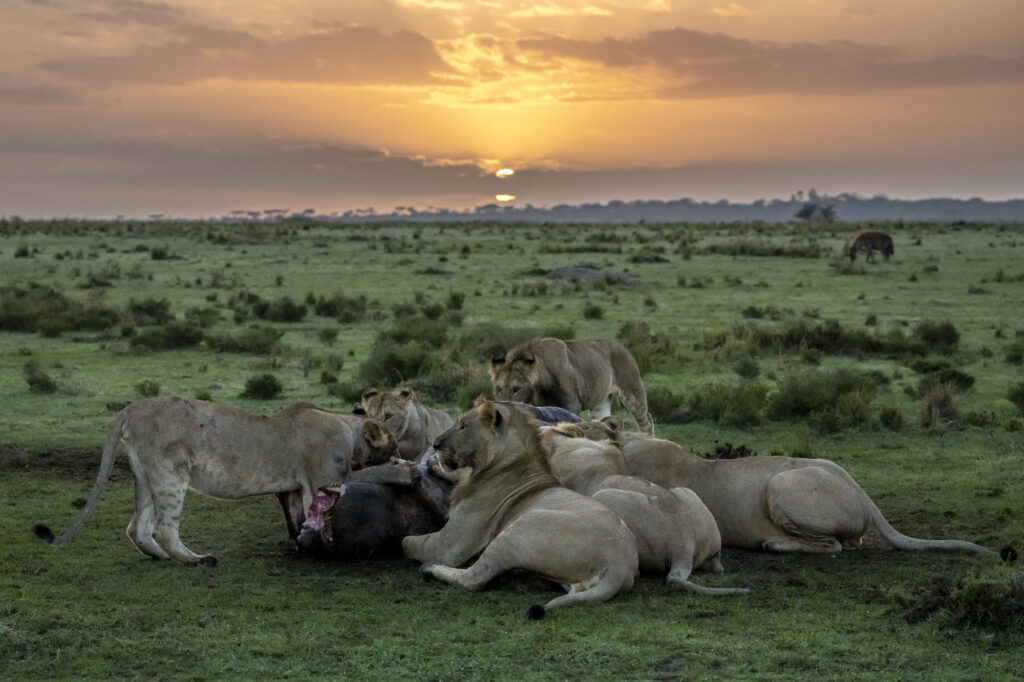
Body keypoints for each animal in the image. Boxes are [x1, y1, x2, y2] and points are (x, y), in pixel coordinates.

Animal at [34, 397, 399, 566]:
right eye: (393, 441)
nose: (399, 452)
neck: (348, 428)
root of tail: (132, 407)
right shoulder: (324, 482)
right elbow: (322, 515)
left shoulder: (295, 487)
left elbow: (298, 520)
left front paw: (300, 543)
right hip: (171, 473)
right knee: (164, 529)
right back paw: (195, 559)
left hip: (147, 476)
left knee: (136, 526)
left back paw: (161, 557)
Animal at [402, 400, 638, 618]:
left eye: (463, 426)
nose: (435, 444)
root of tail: (619, 564)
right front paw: (435, 464)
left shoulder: (450, 544)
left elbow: (408, 542)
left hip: (521, 526)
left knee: (475, 578)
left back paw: (430, 569)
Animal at [489, 337, 654, 435]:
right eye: (498, 388)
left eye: (516, 389)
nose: (501, 406)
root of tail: (622, 347)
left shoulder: (572, 406)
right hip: (600, 405)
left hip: (632, 393)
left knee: (646, 421)